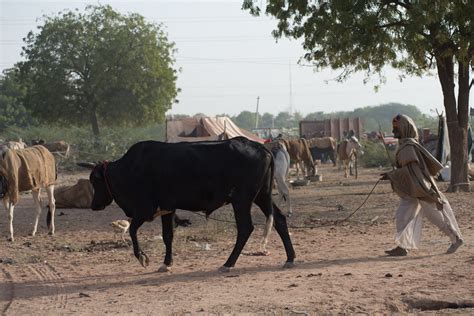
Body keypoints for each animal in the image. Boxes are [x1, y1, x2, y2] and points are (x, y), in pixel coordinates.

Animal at [78, 137, 294, 272]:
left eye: (95, 180)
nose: (94, 205)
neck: (129, 169)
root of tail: (262, 147)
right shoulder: (167, 208)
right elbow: (167, 236)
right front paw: (166, 263)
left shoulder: (145, 210)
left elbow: (132, 231)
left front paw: (142, 258)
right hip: (262, 197)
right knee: (279, 220)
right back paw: (290, 258)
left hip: (242, 200)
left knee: (245, 228)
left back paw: (228, 263)